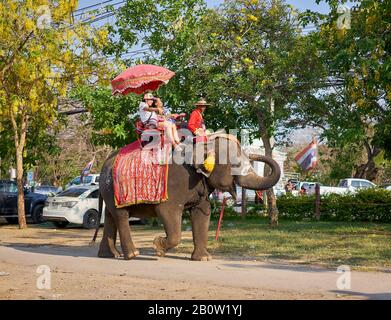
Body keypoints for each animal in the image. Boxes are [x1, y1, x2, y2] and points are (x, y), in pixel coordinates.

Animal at [93, 132, 280, 260]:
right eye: (235, 164)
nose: (256, 153)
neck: (203, 144)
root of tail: (103, 166)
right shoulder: (174, 186)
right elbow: (167, 212)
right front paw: (158, 247)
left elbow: (202, 213)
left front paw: (203, 258)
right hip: (113, 189)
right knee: (121, 216)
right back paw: (132, 255)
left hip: (109, 191)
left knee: (110, 217)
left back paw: (110, 255)